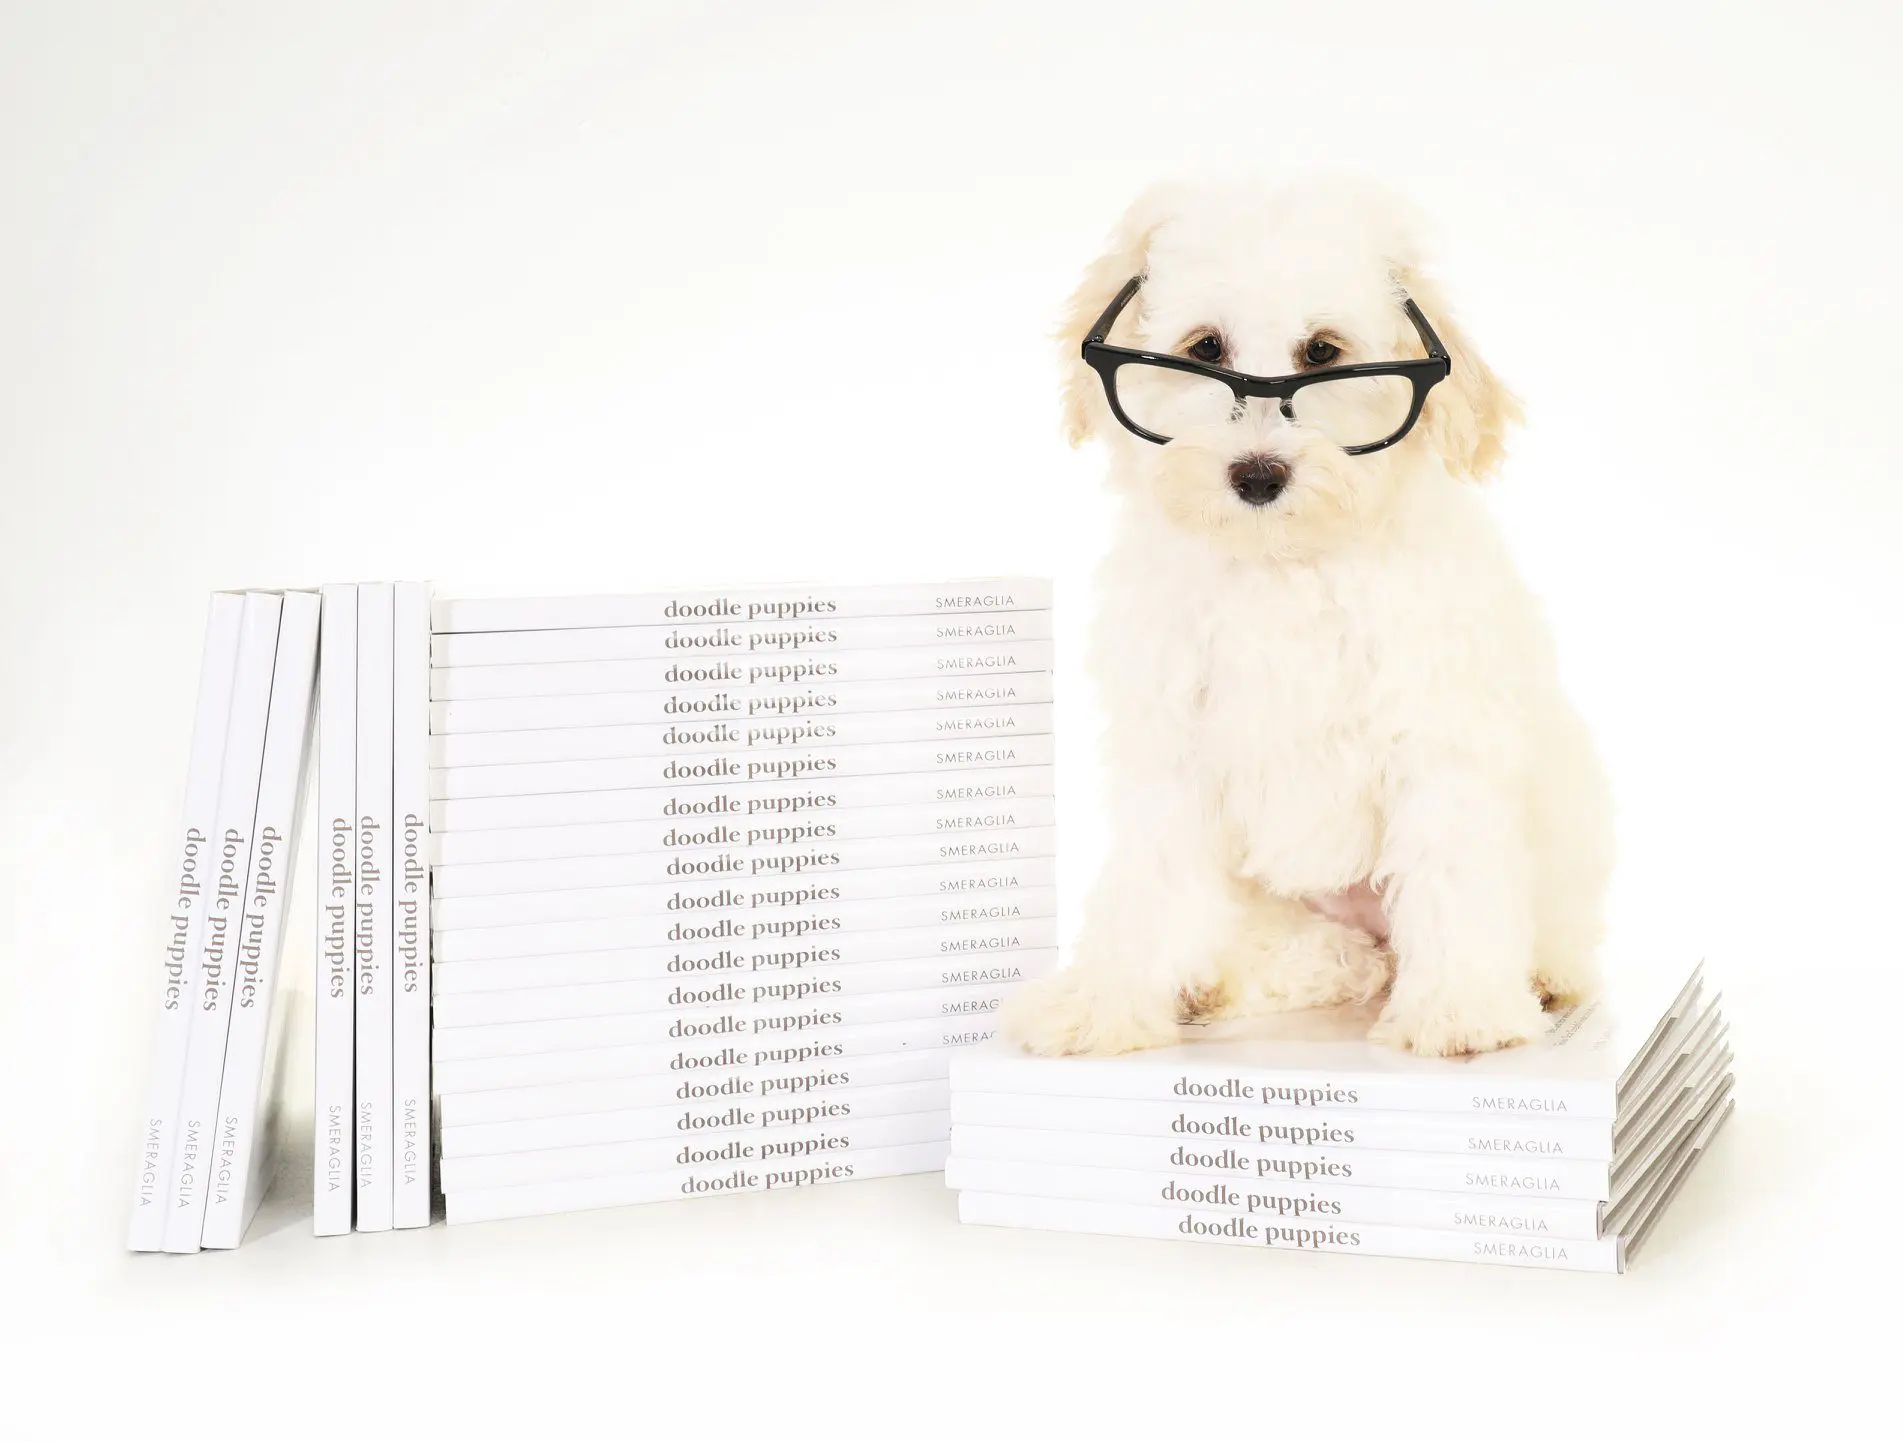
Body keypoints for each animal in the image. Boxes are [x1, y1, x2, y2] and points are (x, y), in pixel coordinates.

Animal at [1004, 177, 1613, 1058]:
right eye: (1205, 348)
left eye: (1322, 352)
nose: (1257, 475)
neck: (1281, 567)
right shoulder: (1172, 750)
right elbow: (1146, 884)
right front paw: (1102, 1001)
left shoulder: (1437, 736)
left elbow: (1451, 870)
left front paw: (1458, 1009)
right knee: (1327, 956)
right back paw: (1219, 986)